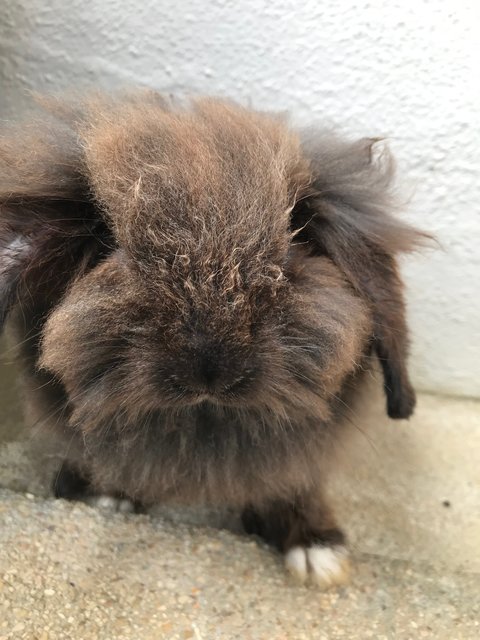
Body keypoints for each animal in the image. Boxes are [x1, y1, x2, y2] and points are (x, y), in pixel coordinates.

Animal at [0, 92, 424, 588]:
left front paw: (316, 550)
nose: (209, 369)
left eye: (295, 239)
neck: (204, 424)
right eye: (108, 243)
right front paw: (112, 495)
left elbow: (293, 483)